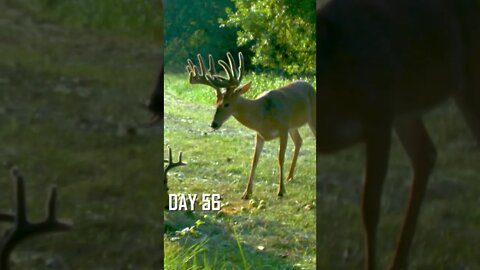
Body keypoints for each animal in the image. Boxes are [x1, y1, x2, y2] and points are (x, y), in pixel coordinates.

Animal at [186, 52, 316, 199]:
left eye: (227, 104)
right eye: (216, 102)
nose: (213, 124)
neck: (262, 113)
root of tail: (309, 84)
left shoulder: (283, 129)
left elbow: (280, 158)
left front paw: (281, 191)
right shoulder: (260, 134)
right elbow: (254, 160)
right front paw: (247, 192)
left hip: (311, 117)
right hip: (293, 126)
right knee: (299, 141)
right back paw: (290, 177)